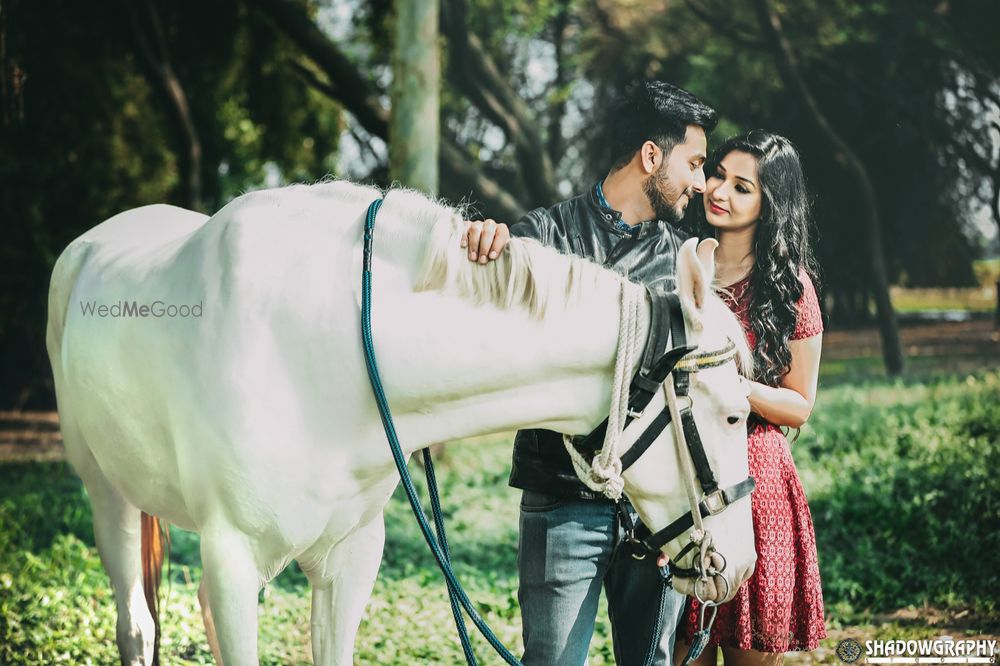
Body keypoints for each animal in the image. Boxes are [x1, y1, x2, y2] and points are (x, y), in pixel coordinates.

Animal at [45, 179, 752, 660]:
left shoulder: (351, 558)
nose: (740, 567)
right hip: (104, 491)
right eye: (734, 417)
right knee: (136, 625)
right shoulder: (230, 566)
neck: (326, 351)